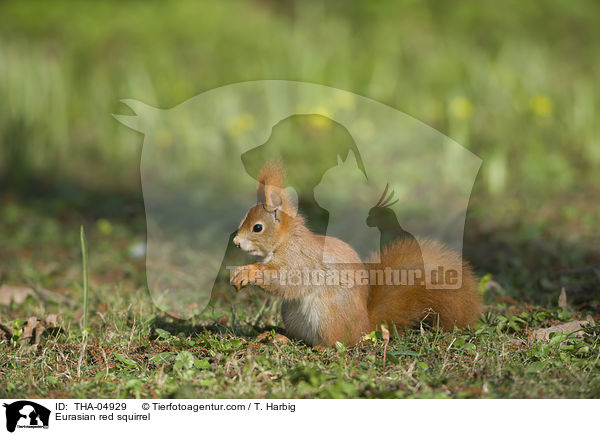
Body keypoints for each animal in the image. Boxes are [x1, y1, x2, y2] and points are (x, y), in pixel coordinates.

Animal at [231, 160, 482, 348]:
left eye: (257, 228)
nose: (235, 242)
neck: (285, 241)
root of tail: (364, 327)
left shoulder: (300, 260)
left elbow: (285, 281)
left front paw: (249, 273)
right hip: (292, 314)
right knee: (299, 338)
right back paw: (278, 337)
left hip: (327, 314)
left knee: (338, 343)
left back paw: (321, 347)